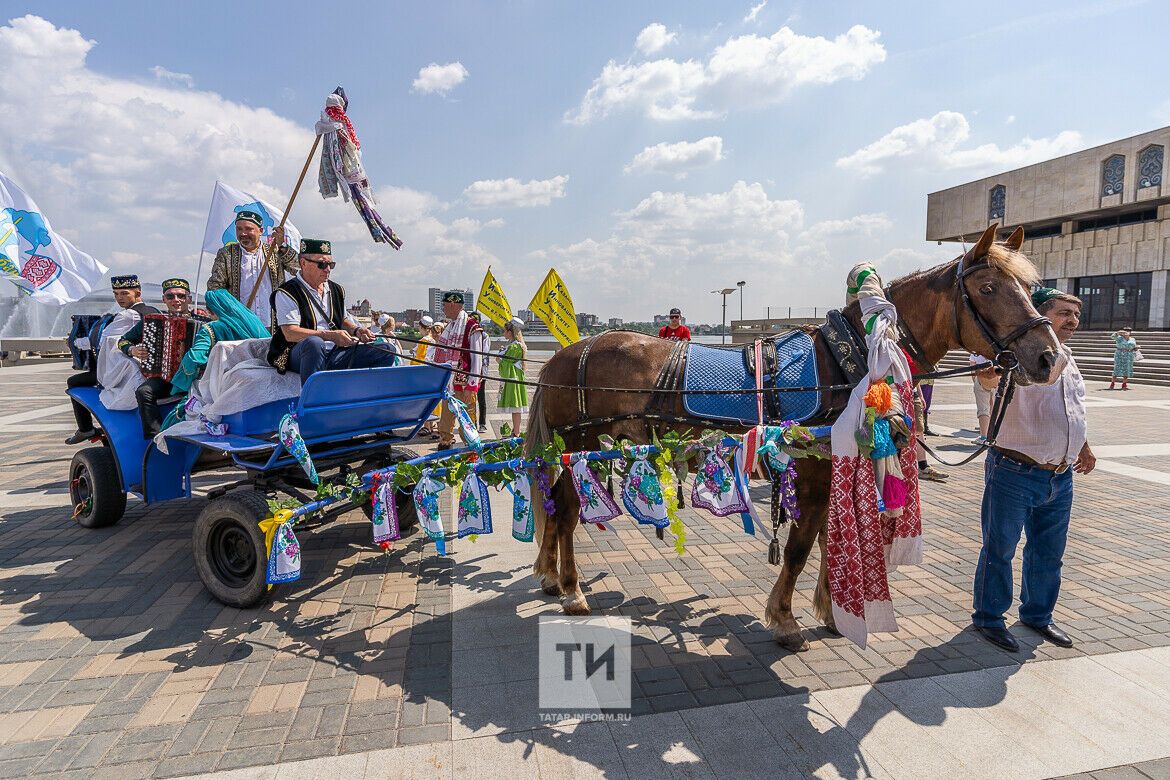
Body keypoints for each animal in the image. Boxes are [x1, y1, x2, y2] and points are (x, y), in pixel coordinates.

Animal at [526, 225, 1067, 654]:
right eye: (990, 287)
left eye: (1030, 288)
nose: (1049, 358)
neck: (853, 358)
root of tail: (560, 357)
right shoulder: (810, 473)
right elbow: (802, 547)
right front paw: (786, 620)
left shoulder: (833, 467)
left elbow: (830, 538)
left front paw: (831, 610)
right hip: (578, 446)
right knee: (566, 510)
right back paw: (571, 589)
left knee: (554, 505)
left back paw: (551, 576)